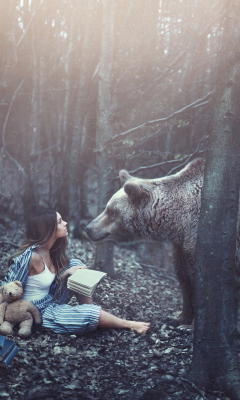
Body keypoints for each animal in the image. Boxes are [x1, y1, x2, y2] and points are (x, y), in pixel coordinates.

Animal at [85, 158, 228, 326]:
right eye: (107, 208)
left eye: (111, 211)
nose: (88, 228)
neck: (179, 220)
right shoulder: (181, 243)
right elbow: (184, 274)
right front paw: (178, 318)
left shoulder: (197, 234)